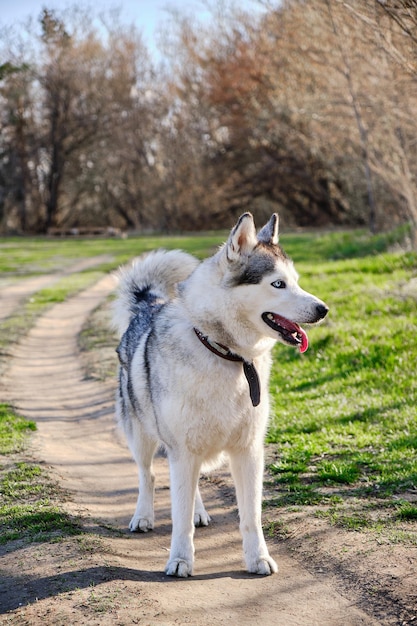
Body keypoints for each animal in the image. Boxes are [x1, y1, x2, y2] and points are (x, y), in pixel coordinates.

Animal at [114, 213, 328, 576]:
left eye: (296, 282)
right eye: (278, 284)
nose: (323, 309)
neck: (224, 352)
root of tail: (148, 303)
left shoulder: (248, 451)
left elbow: (250, 515)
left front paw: (258, 558)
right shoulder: (182, 450)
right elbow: (179, 515)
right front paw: (180, 560)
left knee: (191, 486)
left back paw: (200, 511)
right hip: (141, 436)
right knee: (149, 475)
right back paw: (143, 516)